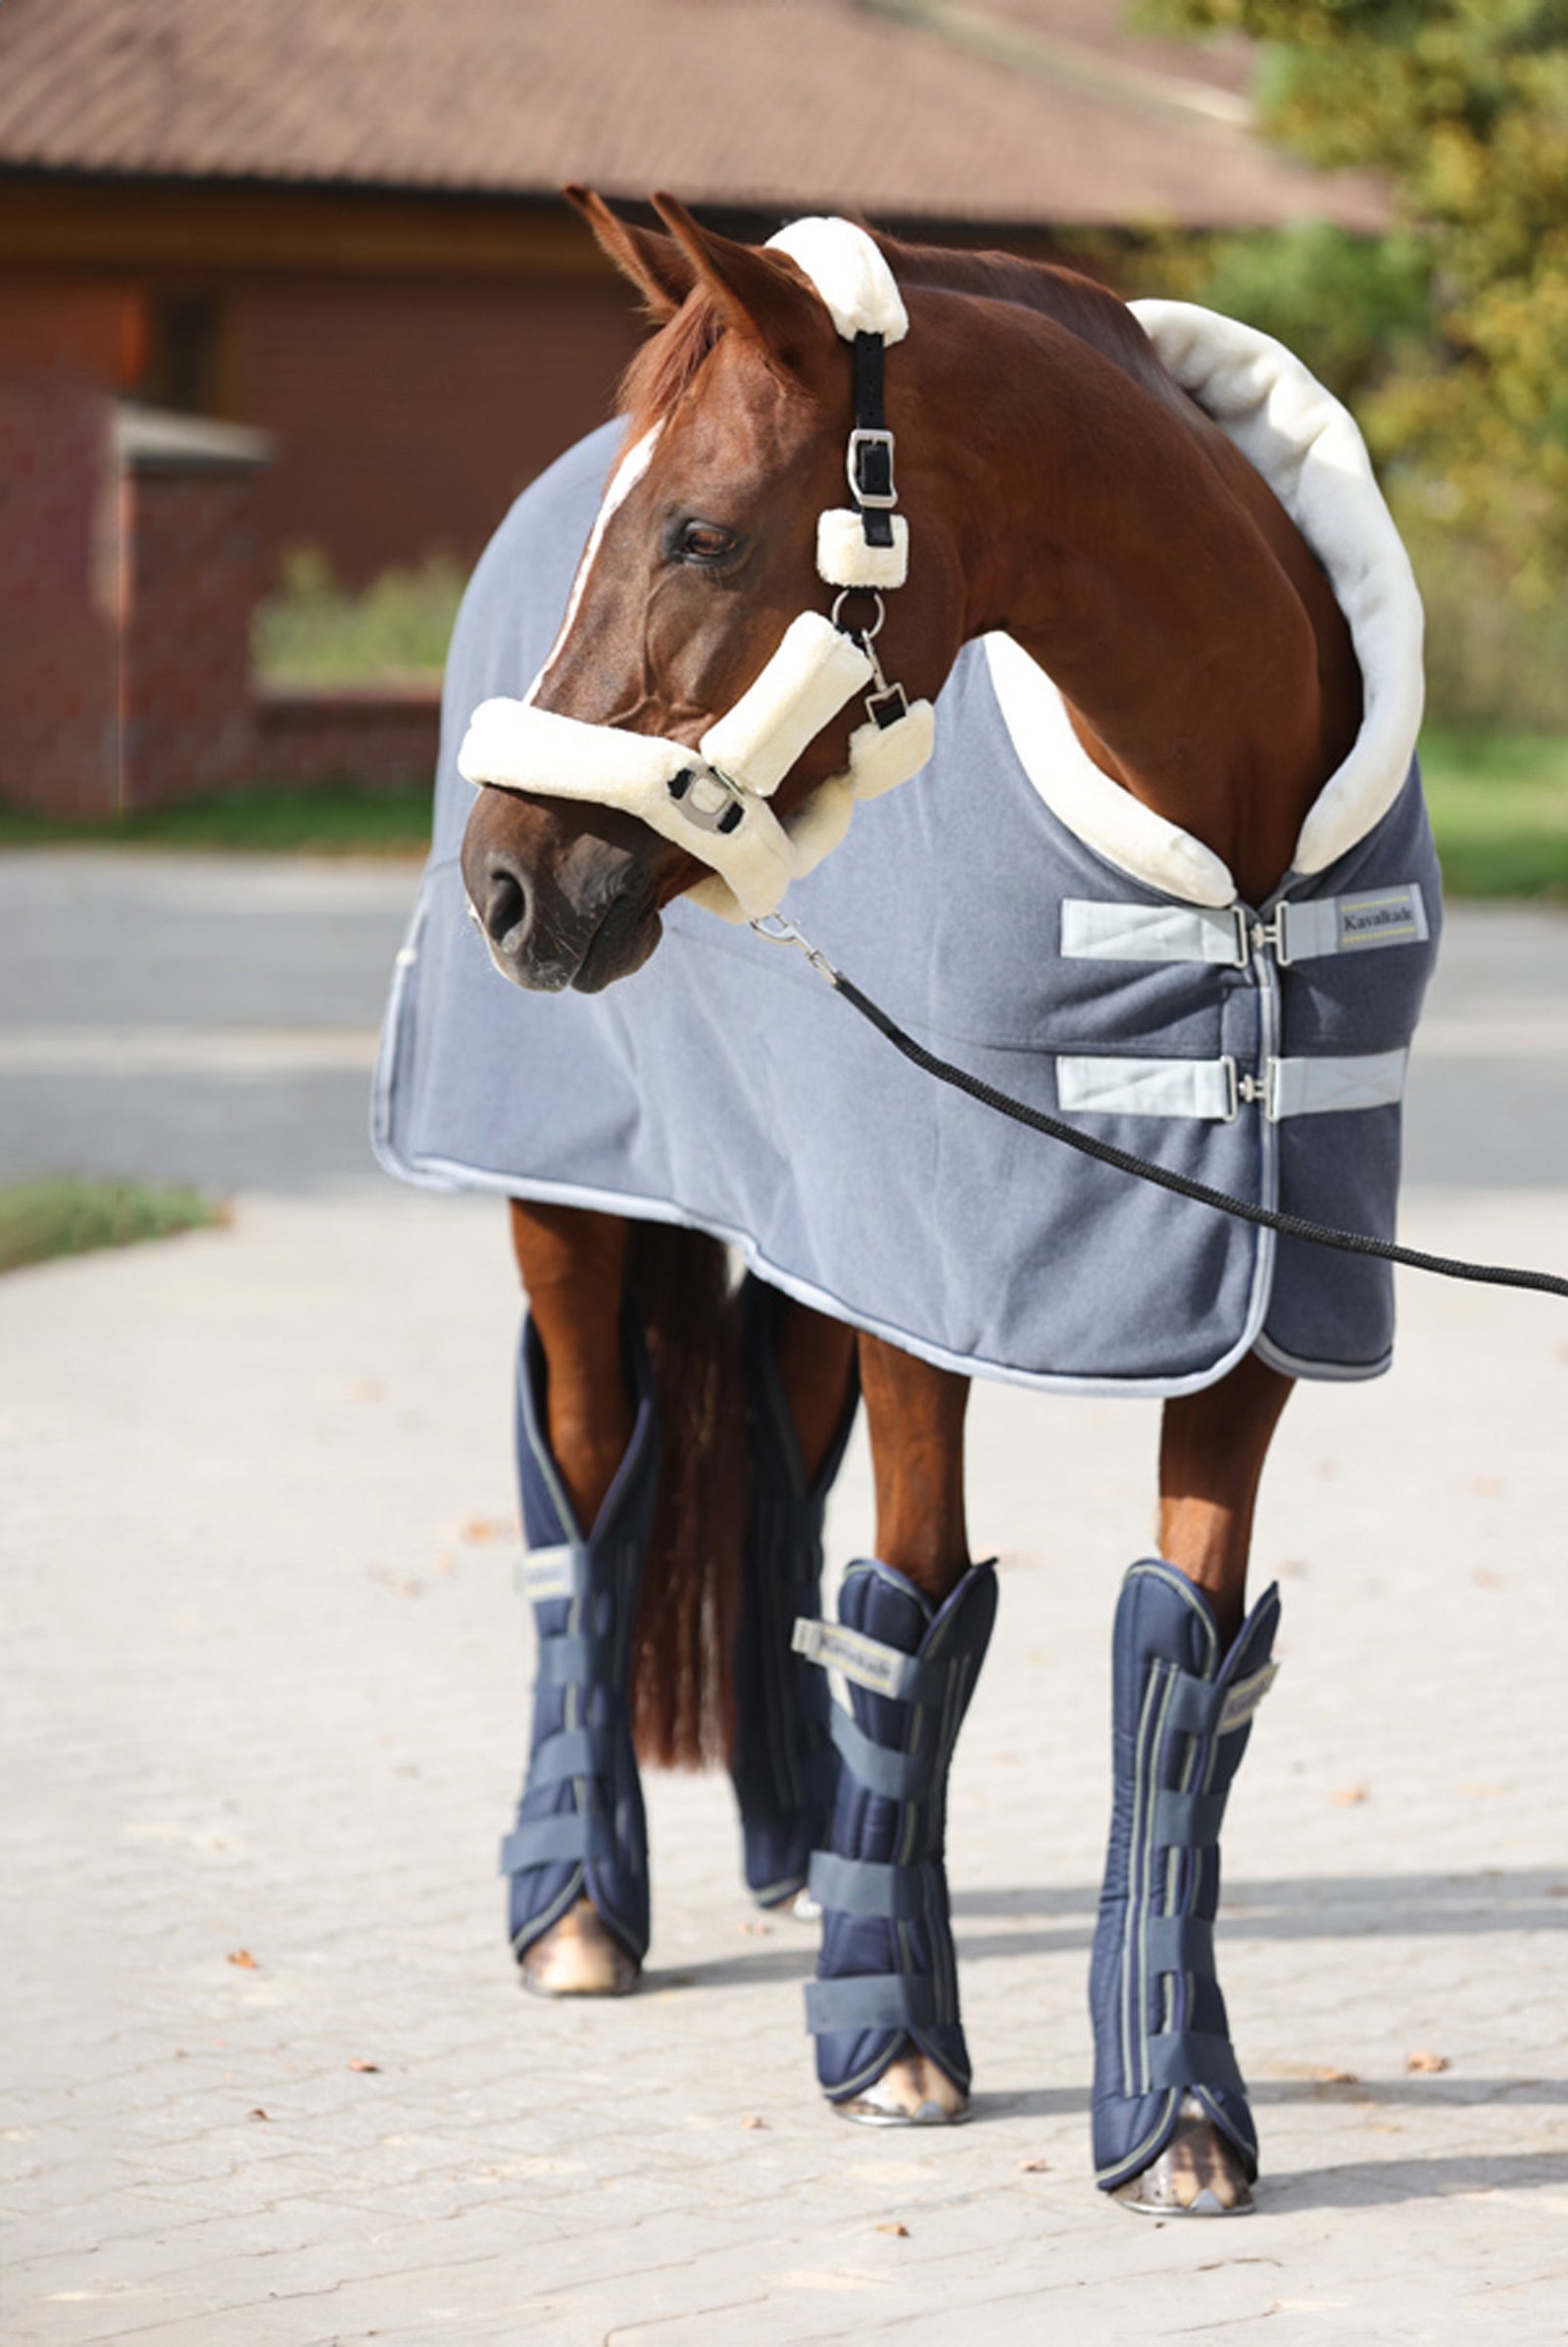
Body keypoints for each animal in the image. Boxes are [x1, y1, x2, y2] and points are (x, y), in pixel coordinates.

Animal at [381, 189, 1436, 2216]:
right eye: (651, 526)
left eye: (702, 530)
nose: (508, 885)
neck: (1237, 884)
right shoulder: (936, 1293)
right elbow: (918, 1606)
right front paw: (890, 2038)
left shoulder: (1256, 1308)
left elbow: (1183, 1660)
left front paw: (1177, 2110)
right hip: (573, 1210)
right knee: (588, 1481)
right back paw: (579, 1901)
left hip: (816, 1234)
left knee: (770, 1483)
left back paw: (800, 1846)